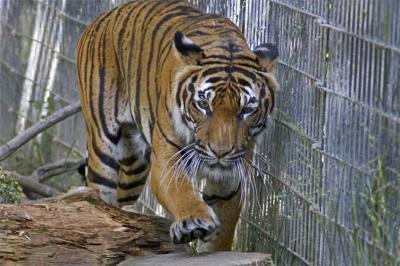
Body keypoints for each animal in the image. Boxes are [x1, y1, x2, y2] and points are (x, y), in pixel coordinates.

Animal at [76, 0, 280, 251]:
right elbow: (180, 189)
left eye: (246, 110)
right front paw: (193, 221)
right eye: (203, 105)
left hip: (134, 165)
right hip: (103, 149)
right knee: (98, 194)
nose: (220, 152)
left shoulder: (231, 179)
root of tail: (107, 14)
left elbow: (221, 235)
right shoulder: (167, 158)